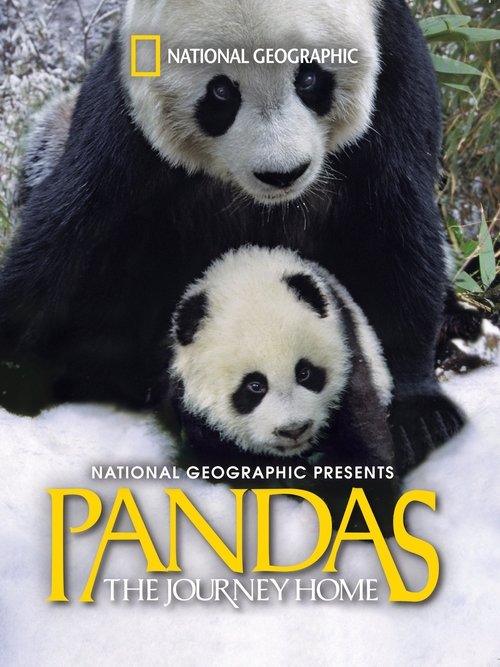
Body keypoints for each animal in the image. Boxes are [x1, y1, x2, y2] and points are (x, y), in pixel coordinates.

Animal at [0, 0, 464, 474]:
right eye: (221, 92)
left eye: (309, 77)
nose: (282, 173)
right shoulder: (127, 112)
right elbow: (71, 231)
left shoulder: (395, 78)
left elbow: (395, 230)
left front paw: (420, 416)